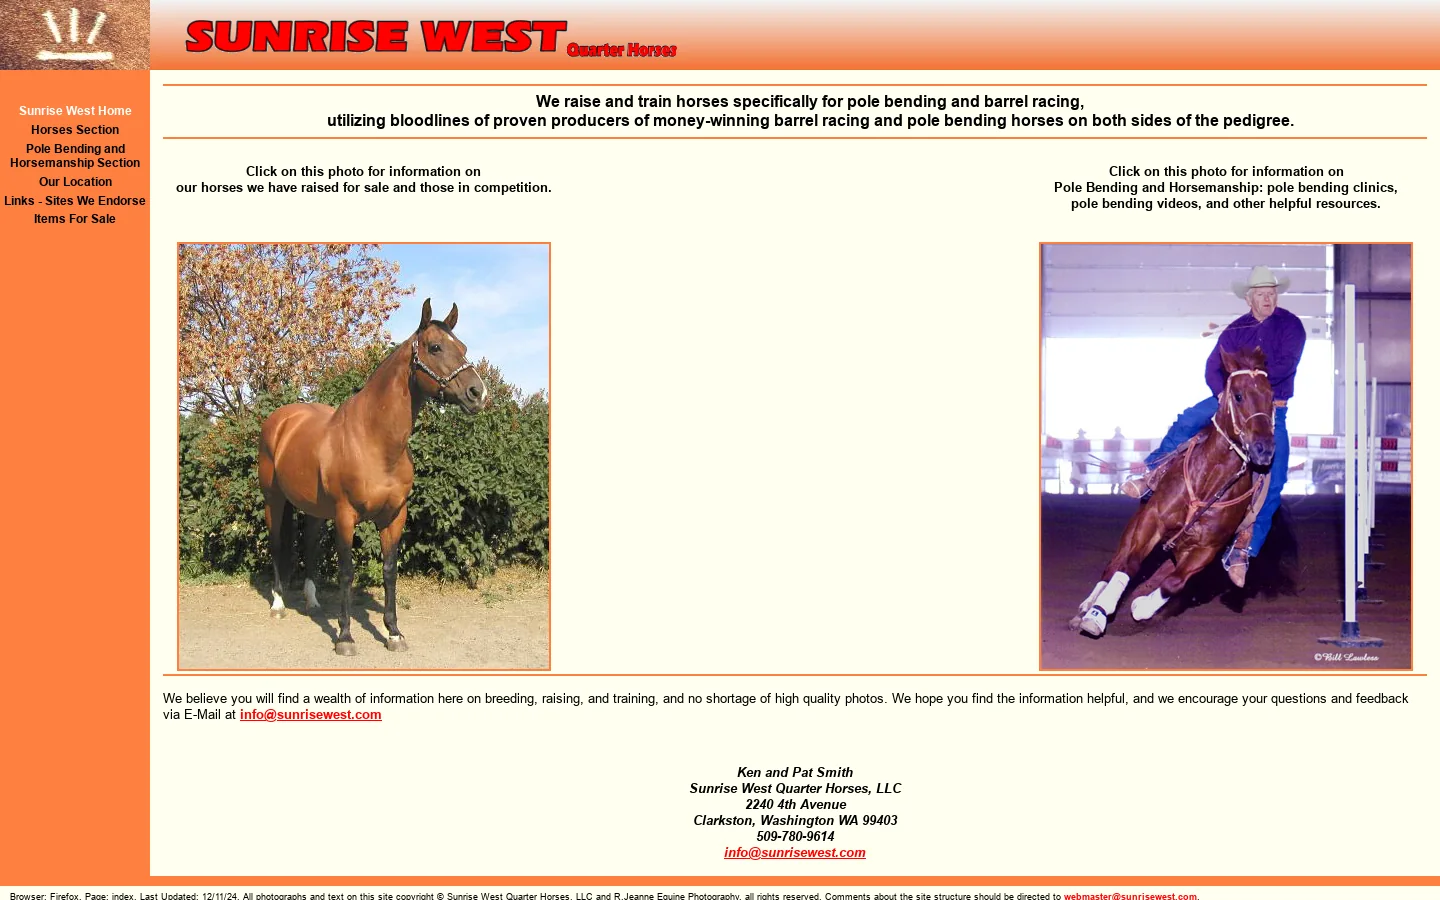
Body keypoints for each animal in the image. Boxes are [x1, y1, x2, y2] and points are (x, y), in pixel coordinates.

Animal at [258, 299, 488, 655]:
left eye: (462, 347)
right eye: (435, 347)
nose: (478, 393)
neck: (373, 440)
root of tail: (281, 420)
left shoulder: (394, 516)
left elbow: (390, 570)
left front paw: (393, 632)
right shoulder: (345, 516)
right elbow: (347, 572)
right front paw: (345, 637)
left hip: (314, 509)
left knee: (309, 545)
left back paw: (312, 602)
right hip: (274, 498)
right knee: (277, 543)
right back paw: (279, 604)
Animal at [1070, 345, 1275, 638]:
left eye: (1272, 397)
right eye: (1238, 396)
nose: (1264, 449)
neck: (1207, 482)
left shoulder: (1207, 548)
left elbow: (1174, 583)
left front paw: (1141, 607)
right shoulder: (1152, 520)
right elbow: (1130, 565)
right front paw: (1097, 614)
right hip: (1135, 525)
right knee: (1114, 565)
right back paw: (1088, 606)